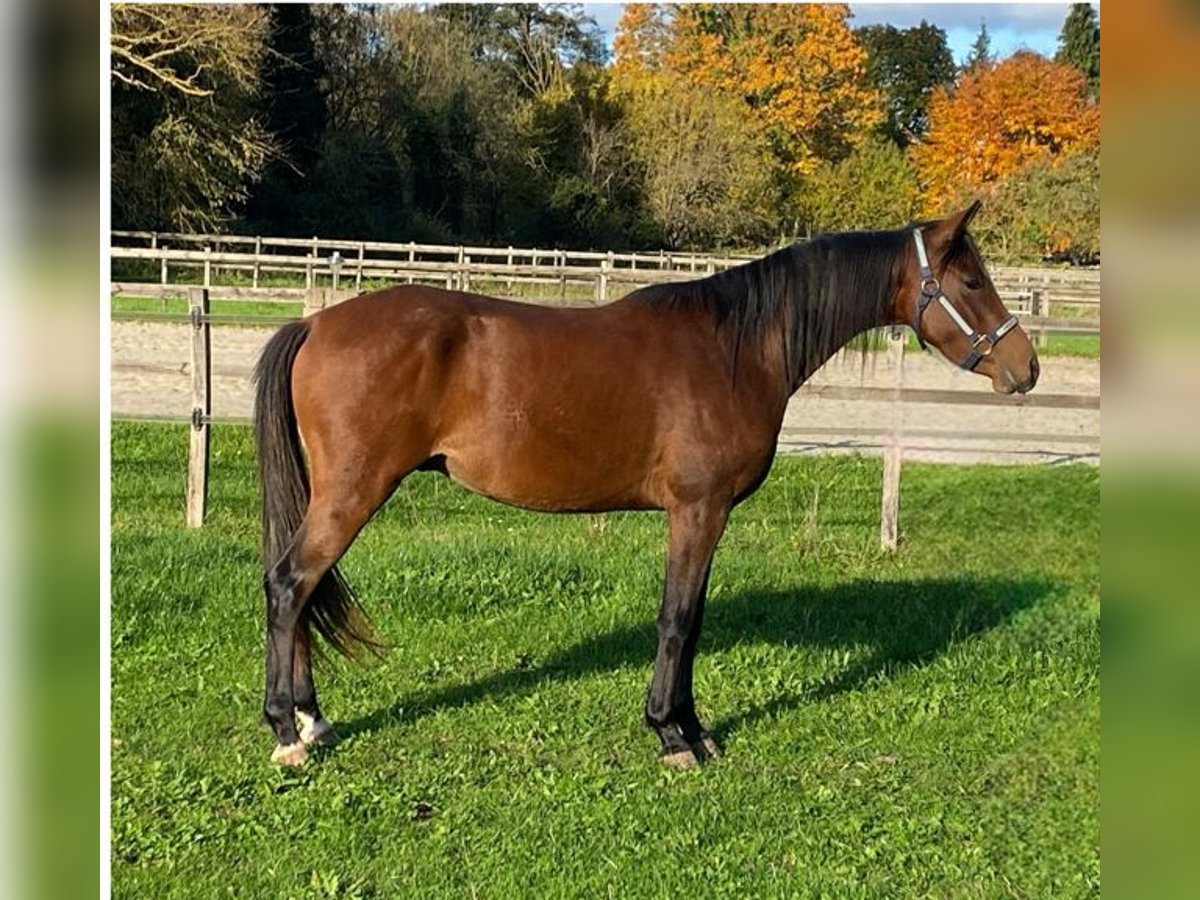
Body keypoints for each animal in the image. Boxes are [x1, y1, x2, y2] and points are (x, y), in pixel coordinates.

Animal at [255, 202, 1041, 768]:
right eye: (972, 281)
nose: (1026, 368)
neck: (735, 348)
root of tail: (315, 324)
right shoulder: (698, 509)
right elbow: (678, 619)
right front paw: (671, 736)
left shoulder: (704, 514)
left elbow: (693, 621)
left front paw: (694, 728)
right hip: (352, 493)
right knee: (291, 585)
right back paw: (287, 732)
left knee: (300, 590)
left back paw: (312, 718)